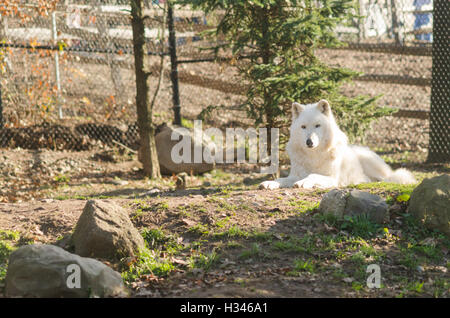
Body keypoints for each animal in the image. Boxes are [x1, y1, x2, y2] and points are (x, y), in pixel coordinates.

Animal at [258, 99, 416, 189]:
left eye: (317, 126)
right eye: (303, 127)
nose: (309, 142)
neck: (313, 156)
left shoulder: (332, 179)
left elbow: (312, 175)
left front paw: (304, 183)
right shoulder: (294, 175)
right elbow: (281, 179)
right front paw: (269, 183)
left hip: (370, 163)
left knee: (388, 178)